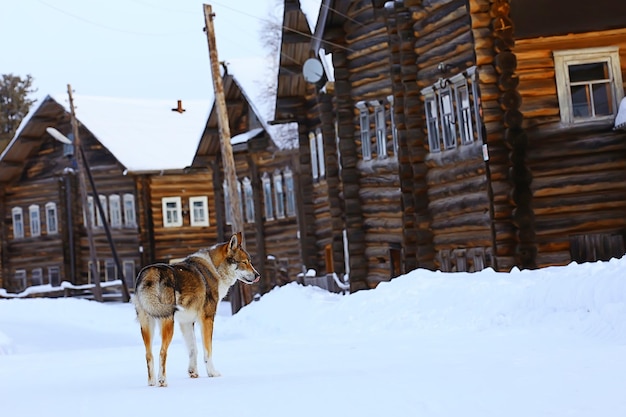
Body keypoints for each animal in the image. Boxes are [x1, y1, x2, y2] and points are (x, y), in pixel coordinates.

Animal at [132, 231, 258, 386]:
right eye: (245, 262)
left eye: (250, 261)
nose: (258, 275)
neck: (215, 269)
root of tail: (151, 272)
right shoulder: (207, 319)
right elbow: (208, 350)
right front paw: (212, 373)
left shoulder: (186, 322)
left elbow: (193, 349)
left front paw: (193, 373)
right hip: (168, 323)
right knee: (162, 352)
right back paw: (162, 381)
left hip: (147, 325)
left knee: (148, 354)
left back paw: (152, 382)